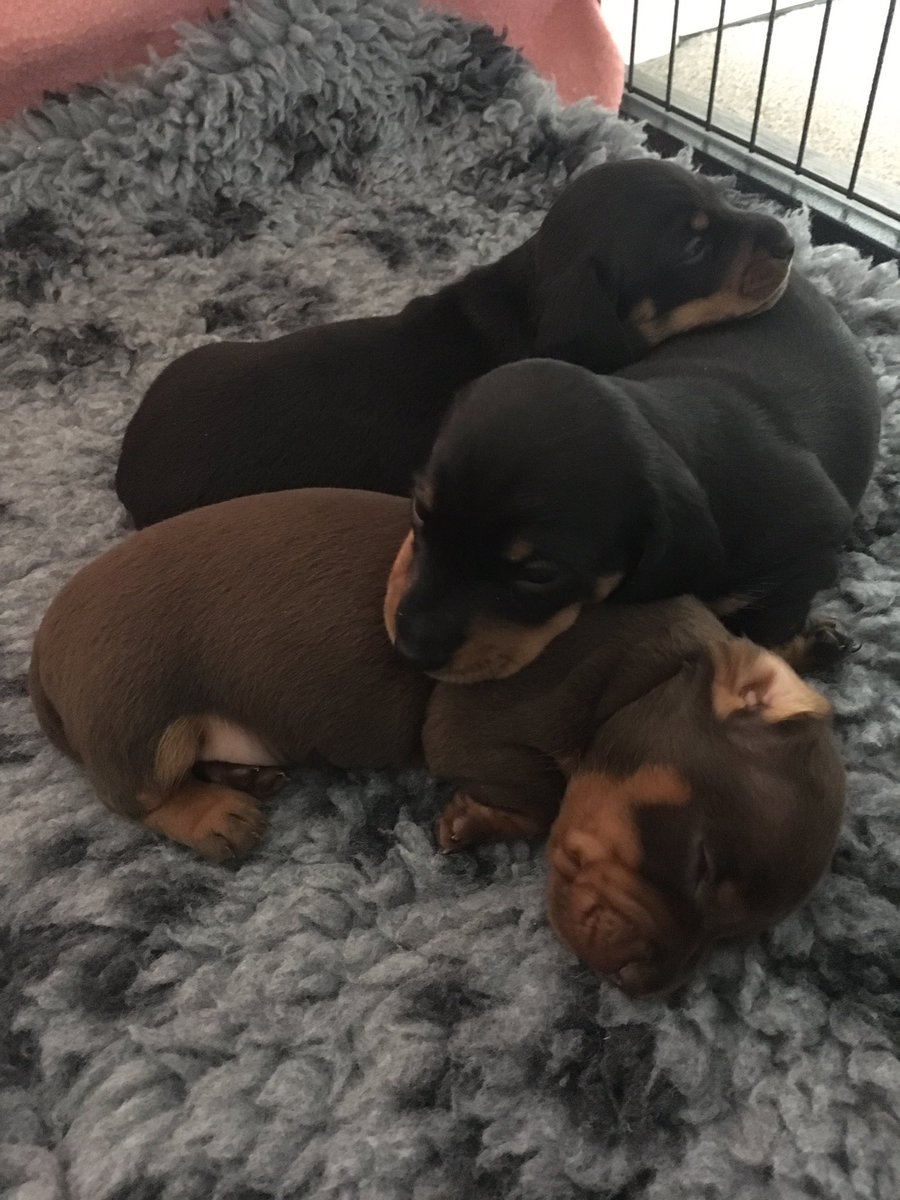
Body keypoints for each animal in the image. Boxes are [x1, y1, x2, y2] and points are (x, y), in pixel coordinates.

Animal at [28, 487, 844, 993]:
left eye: (735, 935)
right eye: (702, 864)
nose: (642, 989)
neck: (653, 673)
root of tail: (41, 656)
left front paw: (812, 643)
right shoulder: (473, 731)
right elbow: (544, 795)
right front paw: (475, 822)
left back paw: (241, 775)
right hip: (139, 715)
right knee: (132, 793)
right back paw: (215, 812)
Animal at [388, 274, 883, 686]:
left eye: (539, 574)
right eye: (420, 511)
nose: (411, 652)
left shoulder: (808, 550)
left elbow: (760, 641)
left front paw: (813, 648)